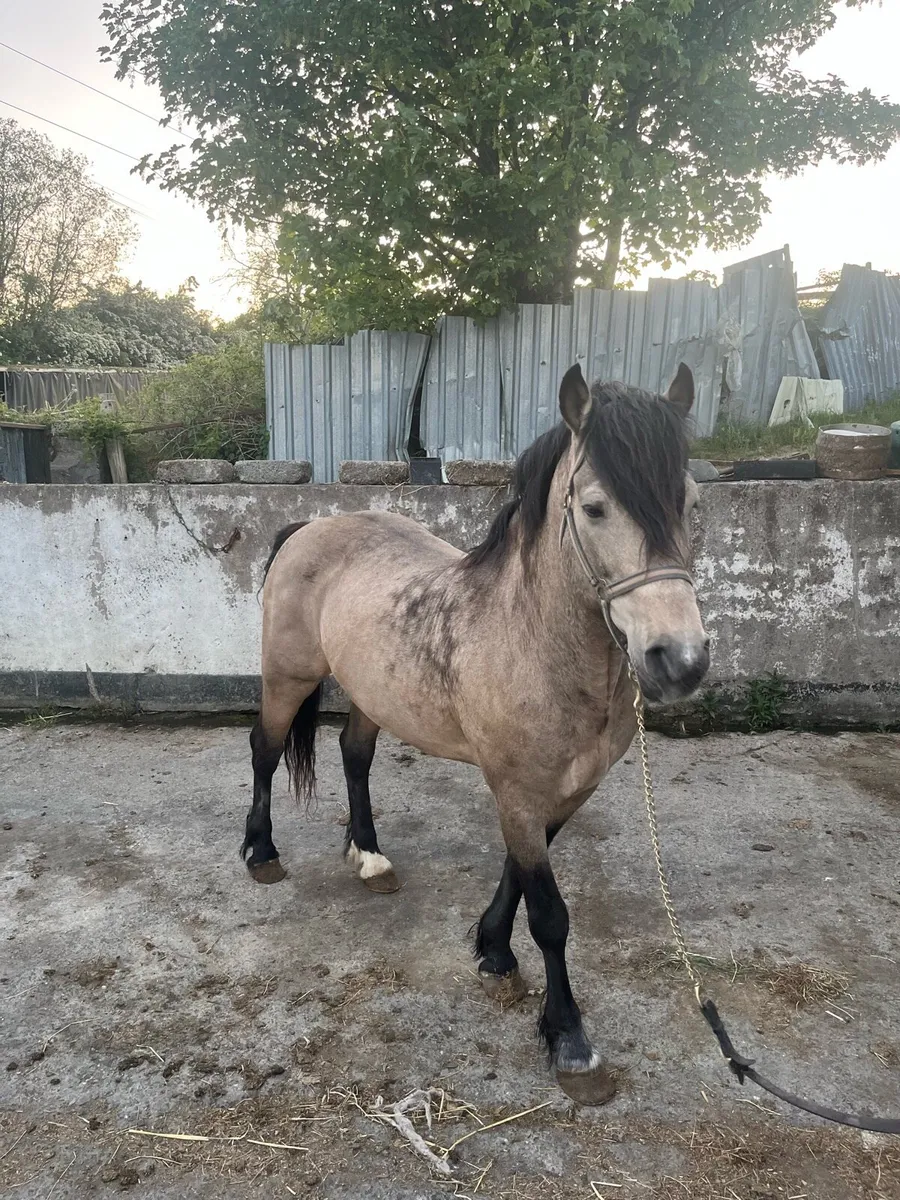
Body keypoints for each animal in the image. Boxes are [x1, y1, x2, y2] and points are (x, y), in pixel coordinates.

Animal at [242, 362, 709, 1105]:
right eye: (596, 507)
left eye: (691, 502)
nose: (681, 660)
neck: (531, 638)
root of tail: (312, 526)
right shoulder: (515, 789)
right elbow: (550, 915)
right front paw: (571, 1042)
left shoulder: (560, 792)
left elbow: (519, 875)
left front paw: (492, 950)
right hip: (286, 677)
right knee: (264, 749)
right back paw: (261, 852)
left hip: (373, 693)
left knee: (354, 756)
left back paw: (369, 857)